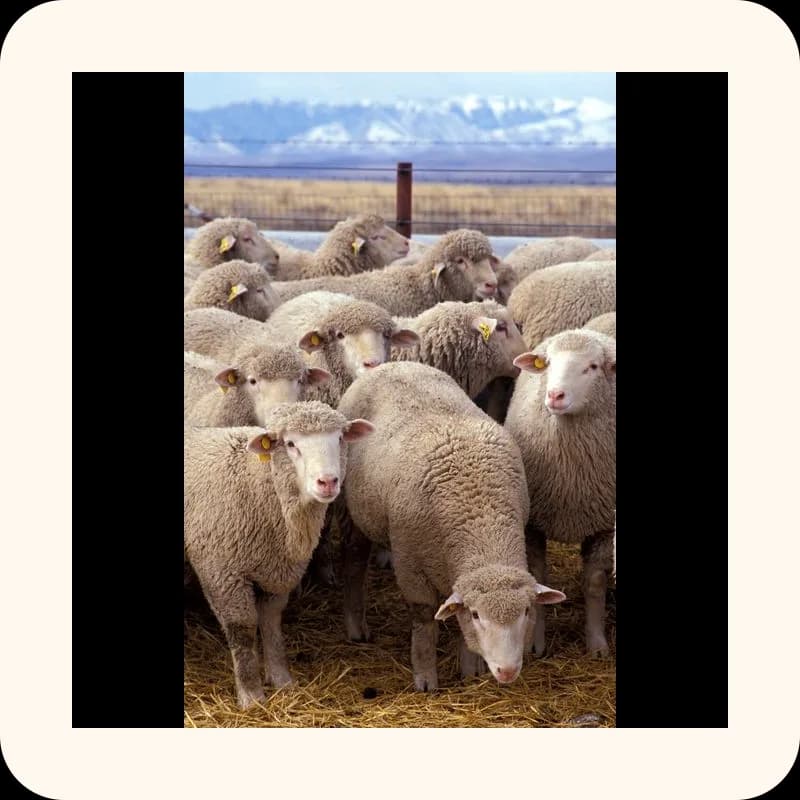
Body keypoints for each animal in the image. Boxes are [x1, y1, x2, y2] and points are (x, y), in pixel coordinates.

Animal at [184, 402, 375, 708]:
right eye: (290, 444)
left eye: (340, 439)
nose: (328, 482)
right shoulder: (221, 570)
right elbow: (243, 630)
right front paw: (251, 695)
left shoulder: (278, 569)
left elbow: (271, 622)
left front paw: (281, 680)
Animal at [336, 361, 565, 691]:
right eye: (477, 615)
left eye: (525, 611)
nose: (507, 671)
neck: (481, 521)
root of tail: (394, 364)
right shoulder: (410, 565)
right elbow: (423, 621)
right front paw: (425, 677)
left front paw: (470, 670)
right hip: (352, 511)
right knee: (354, 561)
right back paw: (356, 626)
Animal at [504, 328, 616, 658]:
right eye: (549, 363)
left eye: (592, 367)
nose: (555, 395)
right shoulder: (533, 524)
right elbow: (537, 578)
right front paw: (535, 643)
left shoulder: (604, 524)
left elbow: (594, 583)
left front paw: (597, 644)